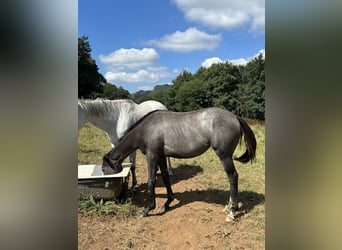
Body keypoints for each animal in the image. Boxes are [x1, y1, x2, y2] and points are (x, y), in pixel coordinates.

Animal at [102, 107, 256, 219]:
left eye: (104, 168)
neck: (146, 129)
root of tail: (235, 117)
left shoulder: (152, 156)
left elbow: (151, 180)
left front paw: (147, 209)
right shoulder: (161, 156)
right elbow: (165, 177)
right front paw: (167, 202)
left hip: (225, 156)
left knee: (233, 177)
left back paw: (232, 210)